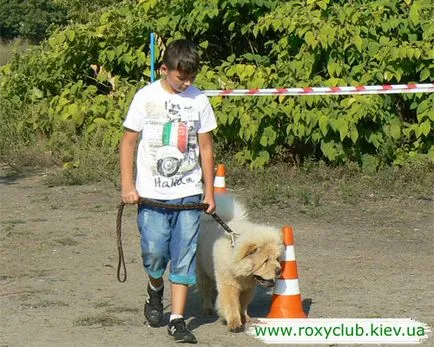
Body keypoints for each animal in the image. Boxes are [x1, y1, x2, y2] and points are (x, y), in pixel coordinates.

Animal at [197, 194, 284, 334]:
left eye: (277, 259)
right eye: (265, 261)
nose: (279, 270)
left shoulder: (248, 288)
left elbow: (243, 304)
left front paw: (245, 317)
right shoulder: (228, 285)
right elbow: (231, 305)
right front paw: (235, 324)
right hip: (202, 269)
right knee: (205, 289)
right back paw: (207, 308)